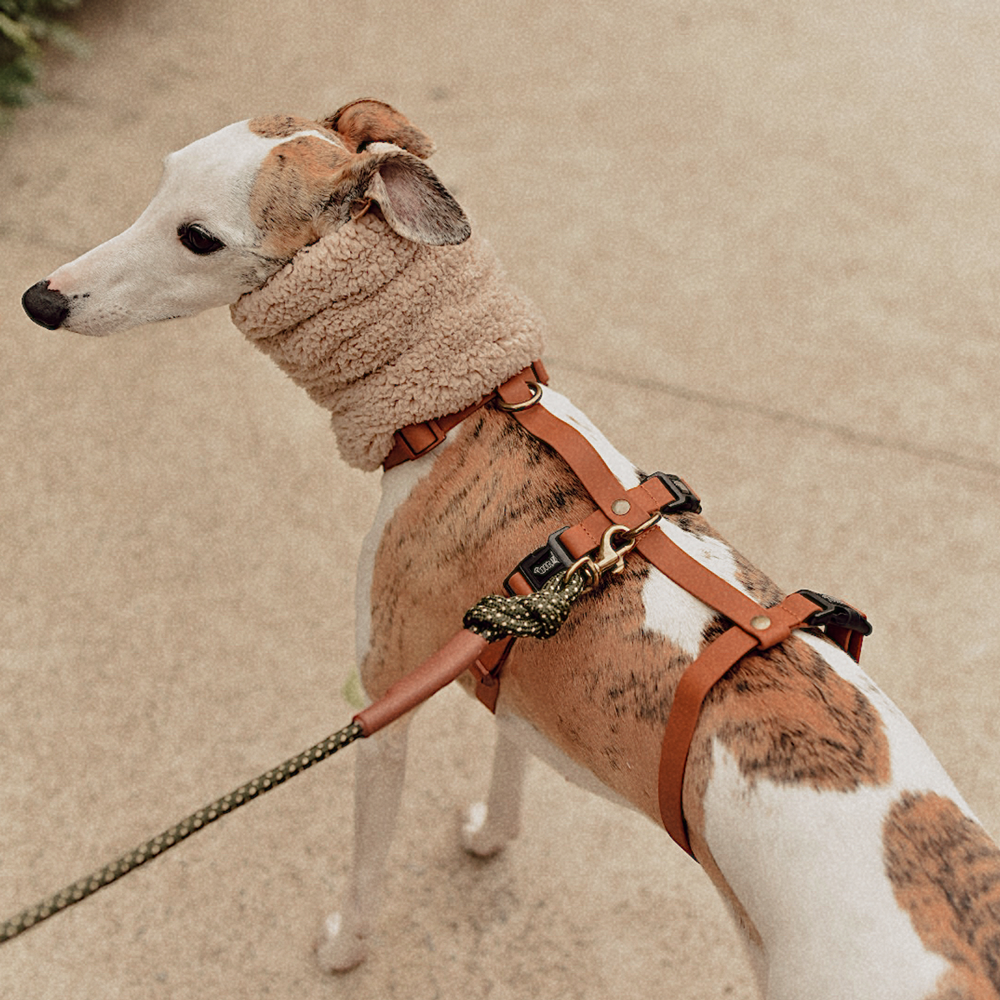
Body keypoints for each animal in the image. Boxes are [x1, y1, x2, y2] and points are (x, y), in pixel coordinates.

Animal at [21, 99, 1000, 992]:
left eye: (198, 238)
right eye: (162, 175)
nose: (40, 299)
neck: (465, 412)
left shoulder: (385, 694)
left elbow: (367, 860)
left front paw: (344, 948)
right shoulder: (509, 643)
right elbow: (513, 751)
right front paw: (491, 834)